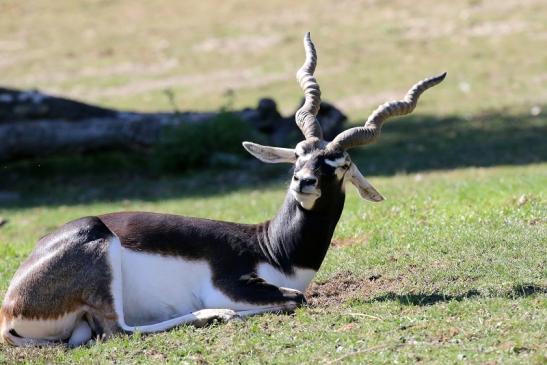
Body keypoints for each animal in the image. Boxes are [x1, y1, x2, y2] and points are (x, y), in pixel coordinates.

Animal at [0, 32, 446, 346]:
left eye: (340, 164)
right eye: (299, 154)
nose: (303, 181)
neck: (273, 249)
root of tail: (10, 306)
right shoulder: (233, 284)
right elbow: (296, 299)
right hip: (101, 246)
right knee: (117, 330)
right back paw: (215, 315)